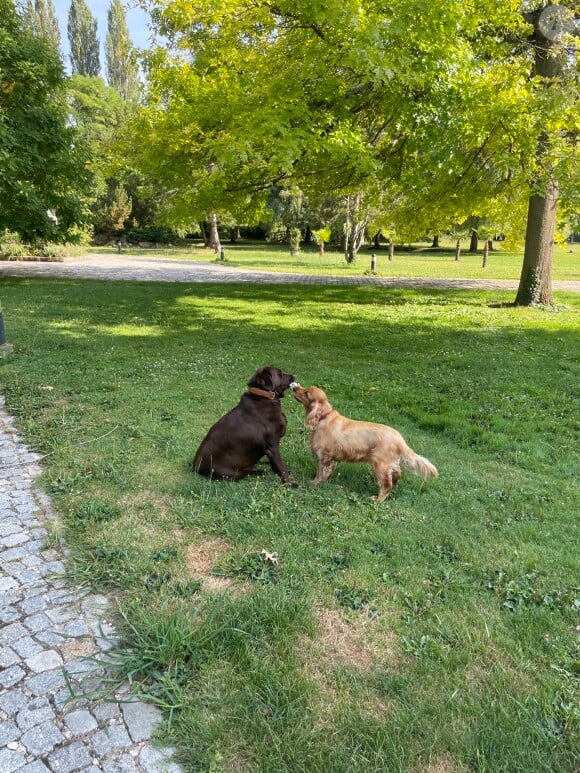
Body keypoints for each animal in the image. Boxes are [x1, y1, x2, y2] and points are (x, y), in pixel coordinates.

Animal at [292, 386, 438, 500]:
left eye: (306, 393)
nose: (294, 387)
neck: (323, 417)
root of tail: (401, 440)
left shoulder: (325, 457)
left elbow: (320, 473)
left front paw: (314, 483)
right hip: (390, 464)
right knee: (396, 475)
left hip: (379, 464)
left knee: (386, 484)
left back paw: (377, 499)